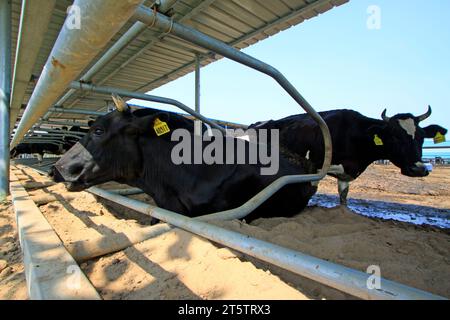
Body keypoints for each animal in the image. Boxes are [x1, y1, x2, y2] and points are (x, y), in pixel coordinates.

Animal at [250, 106, 446, 204]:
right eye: (395, 136)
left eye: (421, 136)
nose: (418, 169)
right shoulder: (316, 167)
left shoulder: (346, 172)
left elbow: (343, 196)